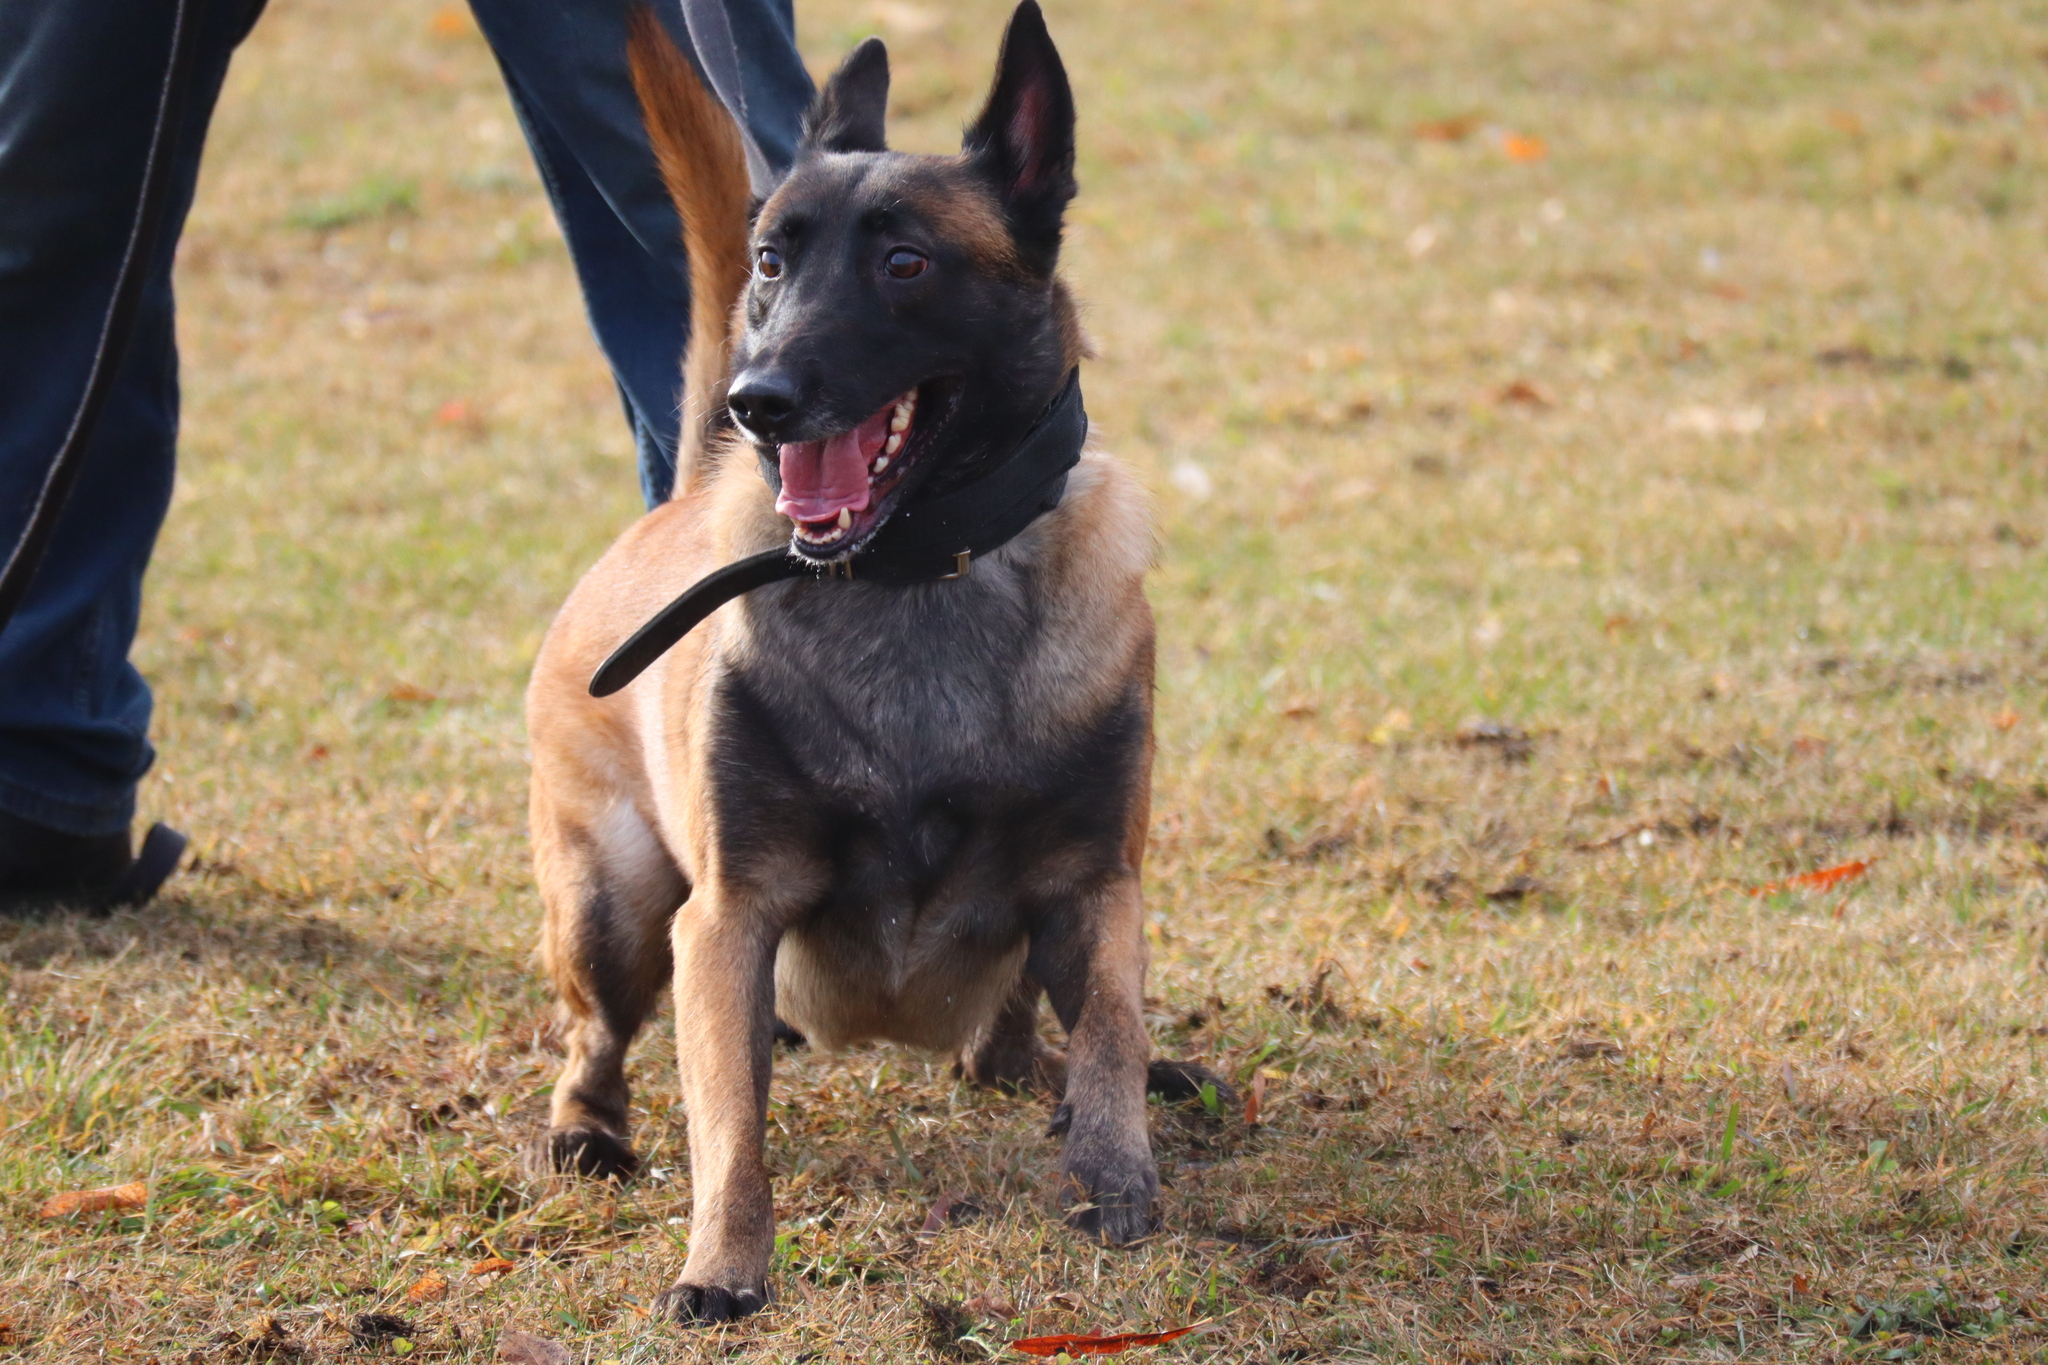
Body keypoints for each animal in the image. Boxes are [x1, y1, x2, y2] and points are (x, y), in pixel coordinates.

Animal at [520, 2, 1212, 1326]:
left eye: (904, 264)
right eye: (770, 264)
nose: (759, 400)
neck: (914, 579)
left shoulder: (1096, 886)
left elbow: (1110, 1033)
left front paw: (1113, 1170)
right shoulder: (727, 920)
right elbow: (730, 1128)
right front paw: (723, 1264)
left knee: (1024, 1029)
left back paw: (1041, 1069)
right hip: (611, 902)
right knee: (596, 1035)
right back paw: (588, 1127)